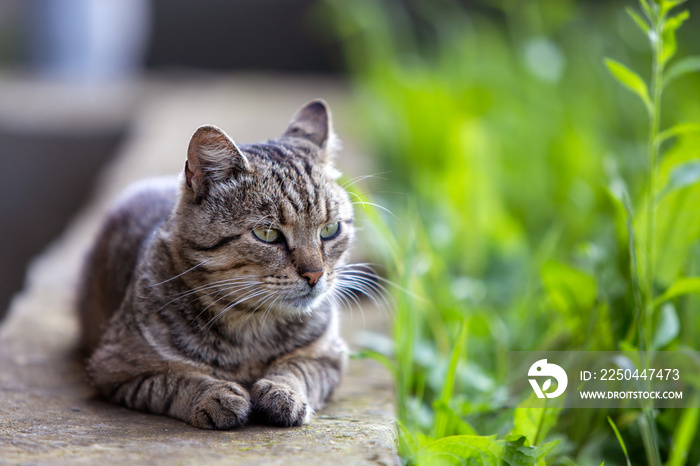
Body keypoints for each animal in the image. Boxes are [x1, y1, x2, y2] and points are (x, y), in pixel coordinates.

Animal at [77, 101, 364, 430]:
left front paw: (284, 392)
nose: (315, 274)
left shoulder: (329, 356)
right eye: (267, 234)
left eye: (330, 230)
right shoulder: (116, 367)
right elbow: (175, 379)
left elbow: (298, 370)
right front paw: (216, 395)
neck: (252, 325)